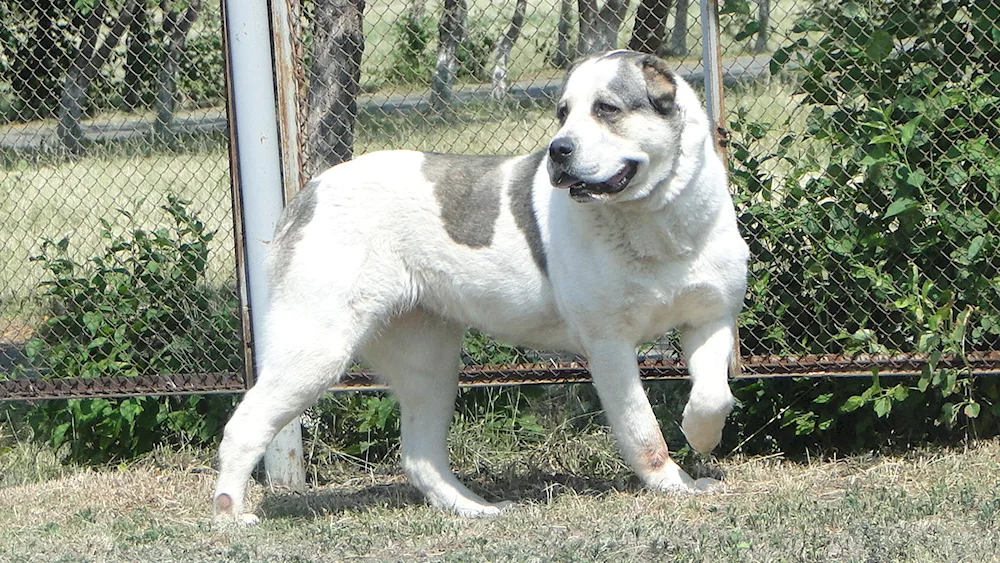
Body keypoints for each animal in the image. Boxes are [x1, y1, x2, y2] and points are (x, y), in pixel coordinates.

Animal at [217, 48, 752, 524]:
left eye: (607, 109)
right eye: (563, 113)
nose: (559, 149)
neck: (655, 223)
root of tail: (311, 190)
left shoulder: (710, 319)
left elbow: (714, 395)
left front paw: (701, 438)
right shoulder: (610, 345)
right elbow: (642, 429)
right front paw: (672, 482)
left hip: (429, 364)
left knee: (420, 456)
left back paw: (476, 509)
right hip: (316, 349)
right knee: (245, 423)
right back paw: (230, 513)